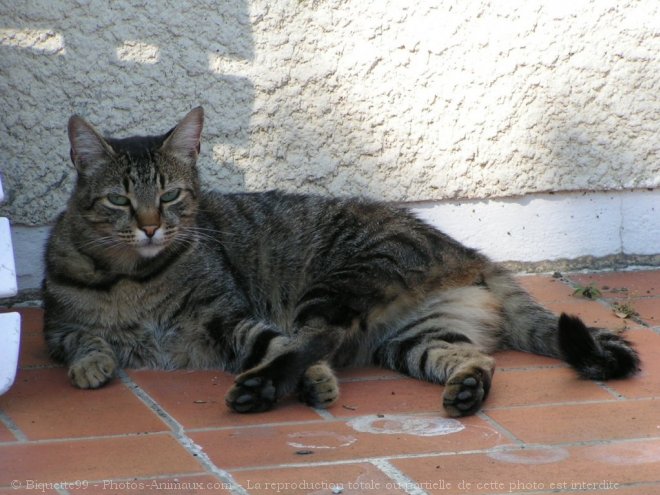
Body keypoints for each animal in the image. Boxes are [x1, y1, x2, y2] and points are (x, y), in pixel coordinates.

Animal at [41, 106, 640, 416]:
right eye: (119, 200)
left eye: (169, 196)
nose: (150, 226)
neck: (133, 277)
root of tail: (465, 251)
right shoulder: (57, 328)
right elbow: (83, 339)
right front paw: (94, 363)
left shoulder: (227, 315)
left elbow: (273, 341)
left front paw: (309, 381)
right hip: (414, 338)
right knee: (476, 360)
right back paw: (468, 388)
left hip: (335, 285)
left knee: (314, 339)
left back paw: (265, 389)